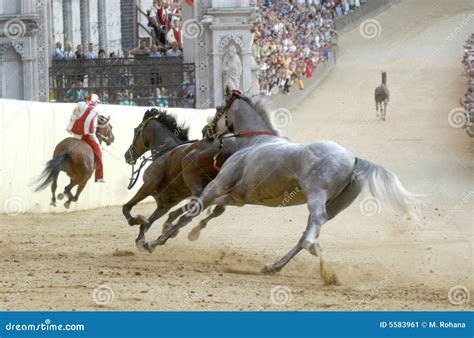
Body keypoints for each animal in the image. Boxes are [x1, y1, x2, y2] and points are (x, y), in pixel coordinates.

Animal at [121, 108, 234, 248]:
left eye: (136, 130)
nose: (127, 155)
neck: (164, 152)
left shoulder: (148, 186)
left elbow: (127, 207)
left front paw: (135, 220)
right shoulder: (165, 203)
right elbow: (148, 223)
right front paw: (142, 241)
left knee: (199, 205)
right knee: (214, 208)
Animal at [149, 90, 422, 274]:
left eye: (218, 110)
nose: (207, 133)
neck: (253, 143)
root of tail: (353, 159)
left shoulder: (217, 186)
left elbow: (193, 210)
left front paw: (155, 240)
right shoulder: (237, 197)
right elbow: (203, 211)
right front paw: (181, 231)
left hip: (317, 195)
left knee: (313, 226)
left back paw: (308, 250)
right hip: (335, 206)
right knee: (304, 235)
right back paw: (275, 266)